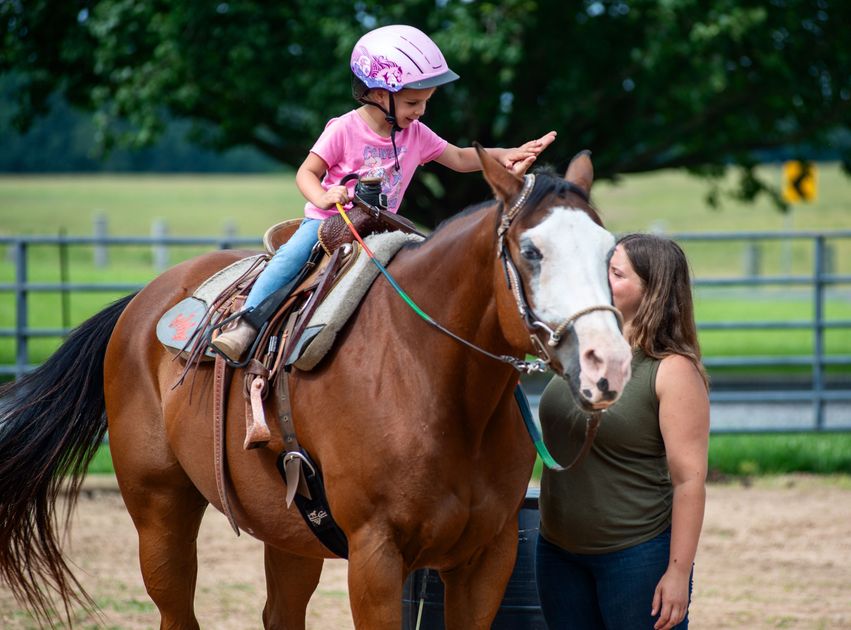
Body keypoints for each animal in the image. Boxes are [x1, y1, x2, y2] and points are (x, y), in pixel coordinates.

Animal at [0, 147, 632, 629]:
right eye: (532, 251)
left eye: (609, 251)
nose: (609, 362)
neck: (433, 381)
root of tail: (141, 303)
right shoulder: (376, 558)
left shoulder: (488, 558)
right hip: (160, 511)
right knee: (176, 609)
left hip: (289, 535)